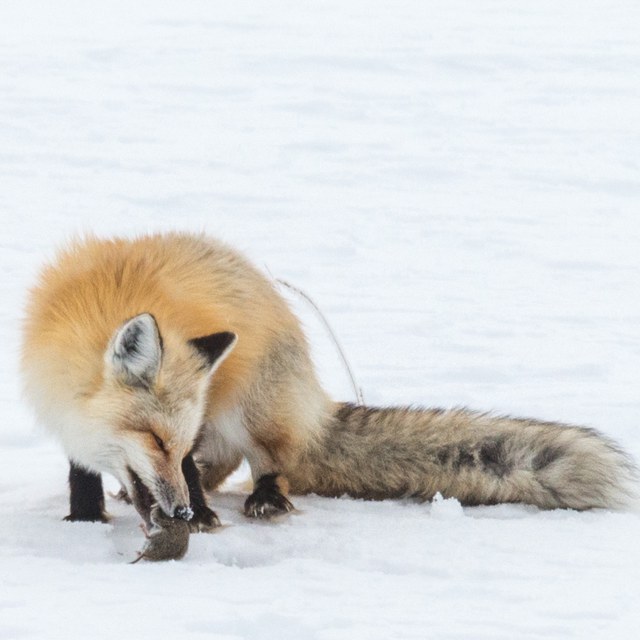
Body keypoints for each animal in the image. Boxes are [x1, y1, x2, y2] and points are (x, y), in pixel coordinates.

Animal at [21, 232, 638, 543]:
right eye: (153, 440)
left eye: (176, 443)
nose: (177, 514)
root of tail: (314, 403)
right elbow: (83, 473)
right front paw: (84, 518)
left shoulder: (197, 430)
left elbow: (196, 471)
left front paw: (198, 515)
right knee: (228, 464)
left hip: (251, 407)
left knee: (271, 462)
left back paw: (263, 499)